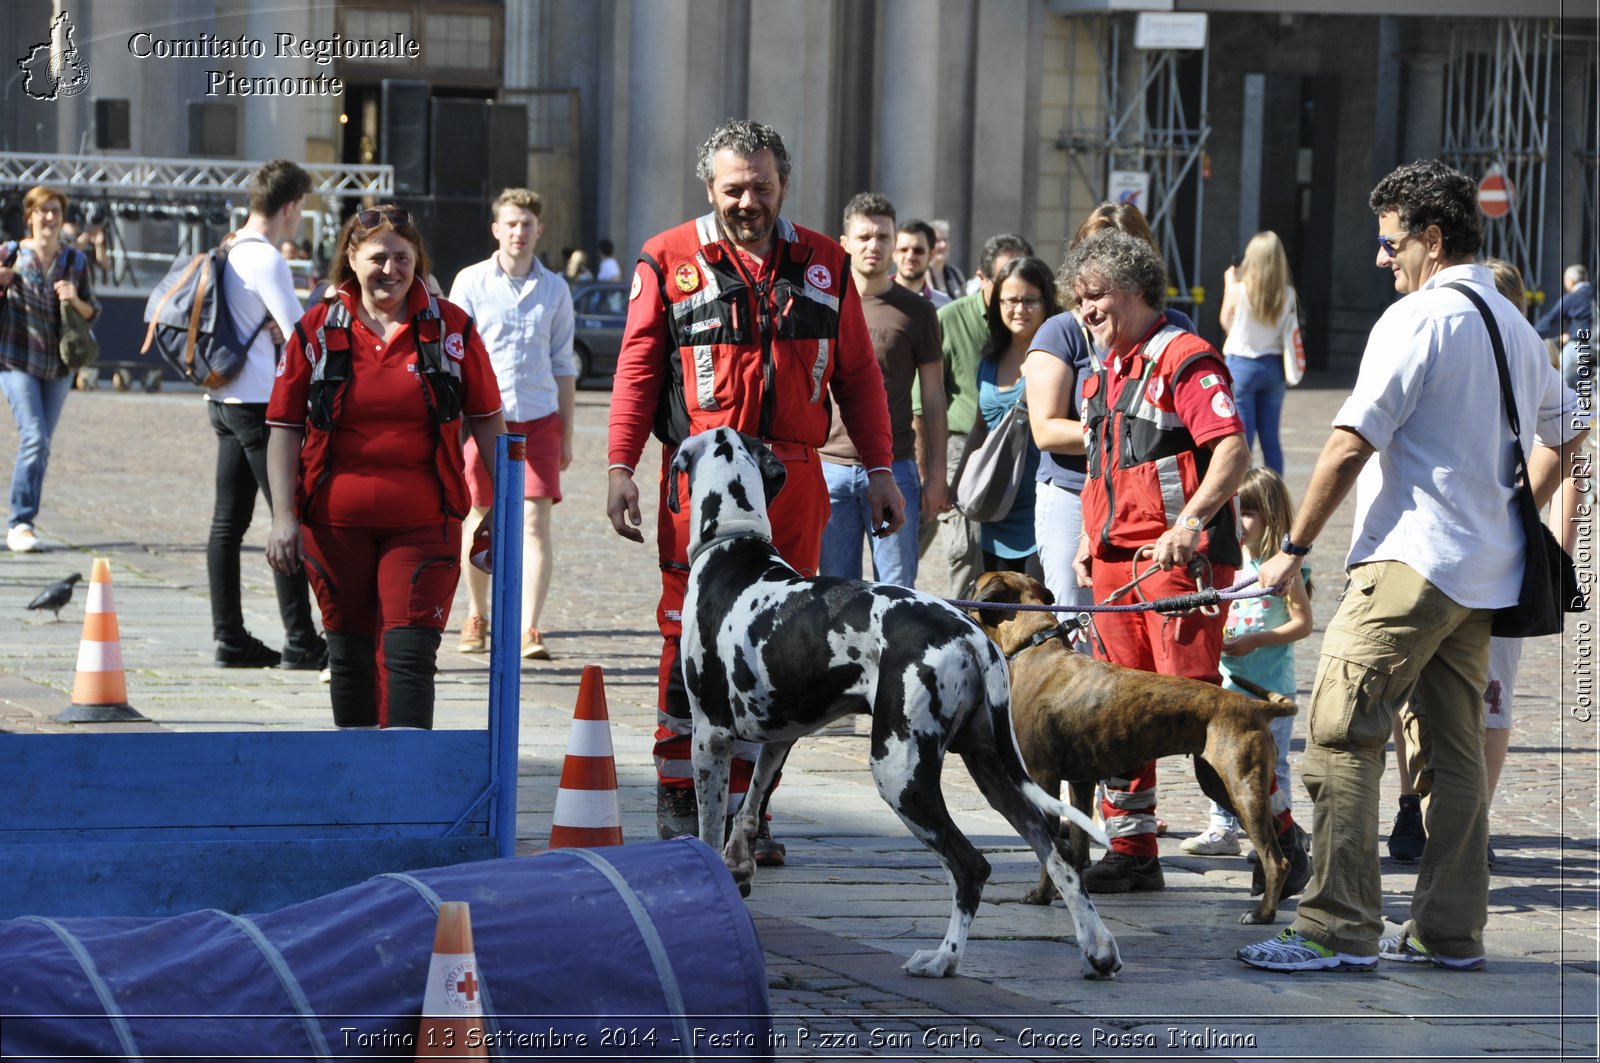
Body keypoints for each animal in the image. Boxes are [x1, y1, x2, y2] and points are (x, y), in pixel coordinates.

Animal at [668, 429, 1120, 973]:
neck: (734, 547)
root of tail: (971, 636)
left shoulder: (709, 736)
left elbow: (711, 822)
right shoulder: (781, 734)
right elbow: (753, 800)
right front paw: (738, 865)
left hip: (899, 773)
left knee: (971, 866)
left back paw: (943, 959)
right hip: (995, 772)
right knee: (1058, 854)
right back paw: (1098, 949)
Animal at [966, 569, 1305, 928]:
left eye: (974, 584)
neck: (1036, 646)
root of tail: (1254, 706)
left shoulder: (1043, 780)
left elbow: (1052, 847)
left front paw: (1043, 895)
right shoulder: (1080, 783)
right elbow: (1077, 847)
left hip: (1242, 786)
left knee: (1274, 857)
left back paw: (1263, 912)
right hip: (1220, 784)